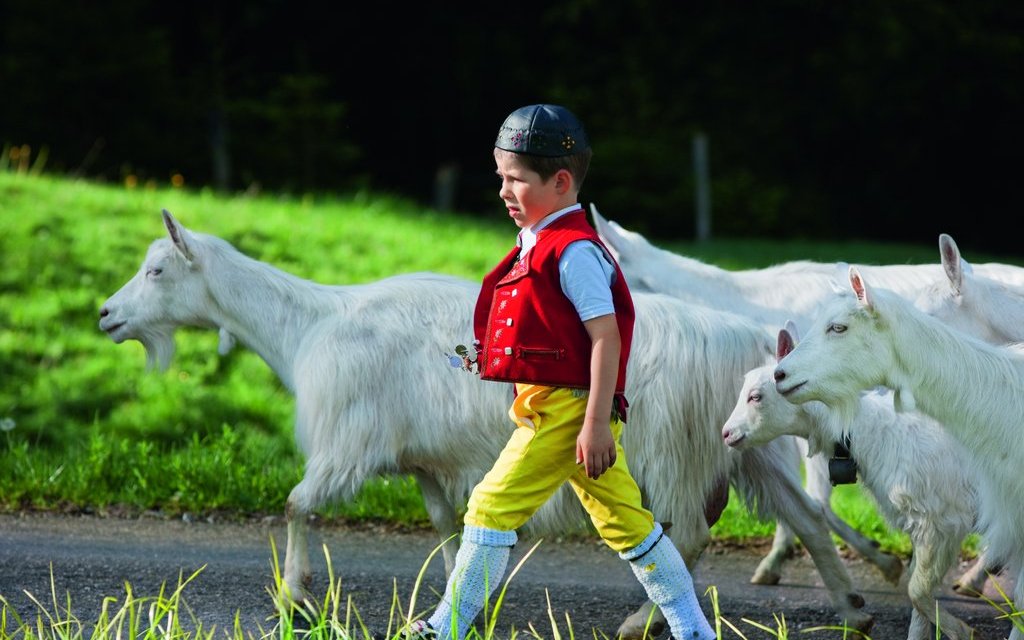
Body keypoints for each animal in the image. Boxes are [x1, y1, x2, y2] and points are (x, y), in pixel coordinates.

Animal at [99, 212, 876, 634]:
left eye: (160, 270)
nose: (105, 315)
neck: (309, 324)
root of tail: (737, 336)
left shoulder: (348, 443)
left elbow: (296, 504)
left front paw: (295, 594)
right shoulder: (429, 461)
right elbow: (453, 531)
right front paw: (465, 603)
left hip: (666, 454)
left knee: (684, 535)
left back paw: (640, 621)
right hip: (747, 447)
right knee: (808, 519)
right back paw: (855, 607)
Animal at [724, 327, 978, 634]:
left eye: (756, 396)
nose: (726, 433)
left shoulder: (942, 518)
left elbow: (917, 592)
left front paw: (963, 631)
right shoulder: (924, 523)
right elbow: (919, 600)